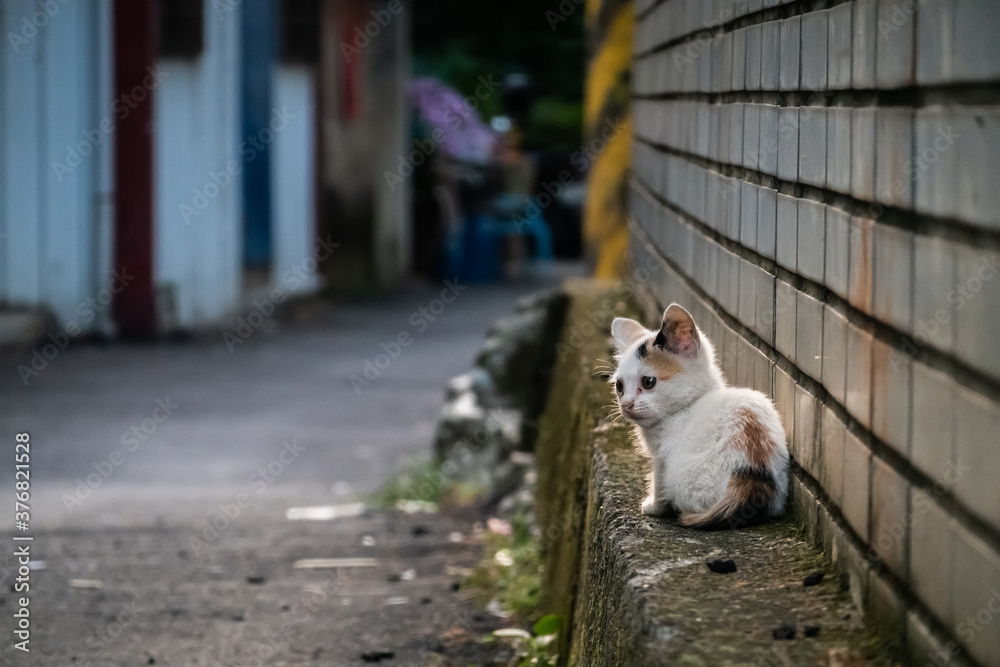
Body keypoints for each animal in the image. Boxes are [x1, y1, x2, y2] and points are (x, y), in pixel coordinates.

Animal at [608, 306, 788, 528]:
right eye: (619, 386)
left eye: (648, 382)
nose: (626, 405)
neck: (689, 405)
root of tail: (750, 476)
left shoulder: (663, 456)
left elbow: (658, 480)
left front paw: (654, 506)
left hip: (680, 475)